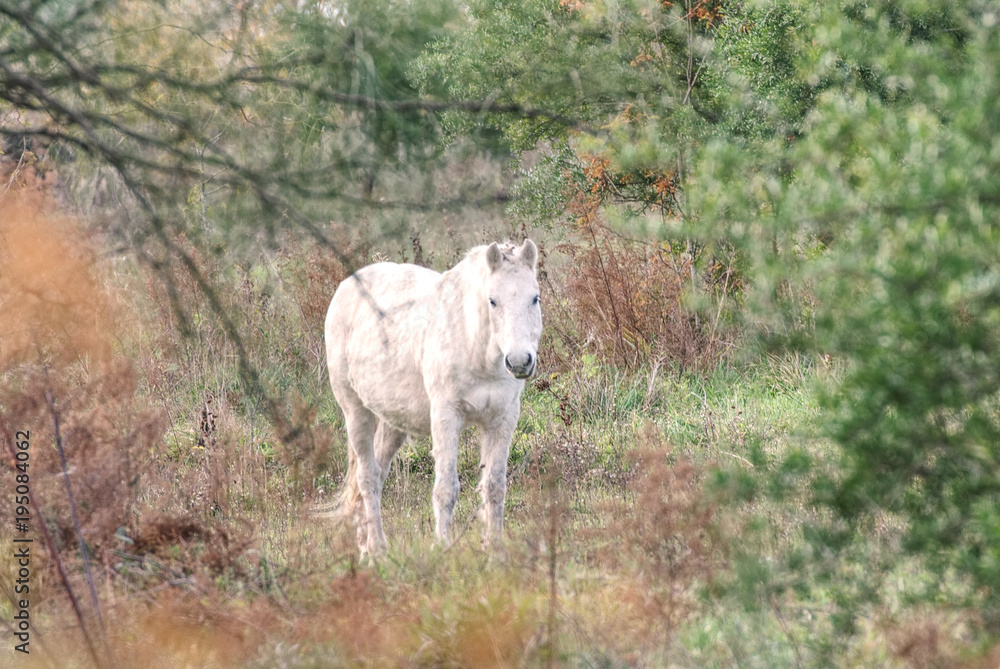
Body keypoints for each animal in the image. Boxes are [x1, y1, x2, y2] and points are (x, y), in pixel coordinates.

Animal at [323, 239, 542, 557]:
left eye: (534, 298)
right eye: (492, 301)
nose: (519, 362)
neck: (474, 348)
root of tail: (348, 284)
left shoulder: (502, 419)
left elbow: (494, 487)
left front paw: (495, 551)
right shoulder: (446, 416)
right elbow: (446, 488)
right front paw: (443, 548)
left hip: (393, 422)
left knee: (377, 473)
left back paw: (367, 546)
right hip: (355, 411)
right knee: (367, 477)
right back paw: (377, 550)